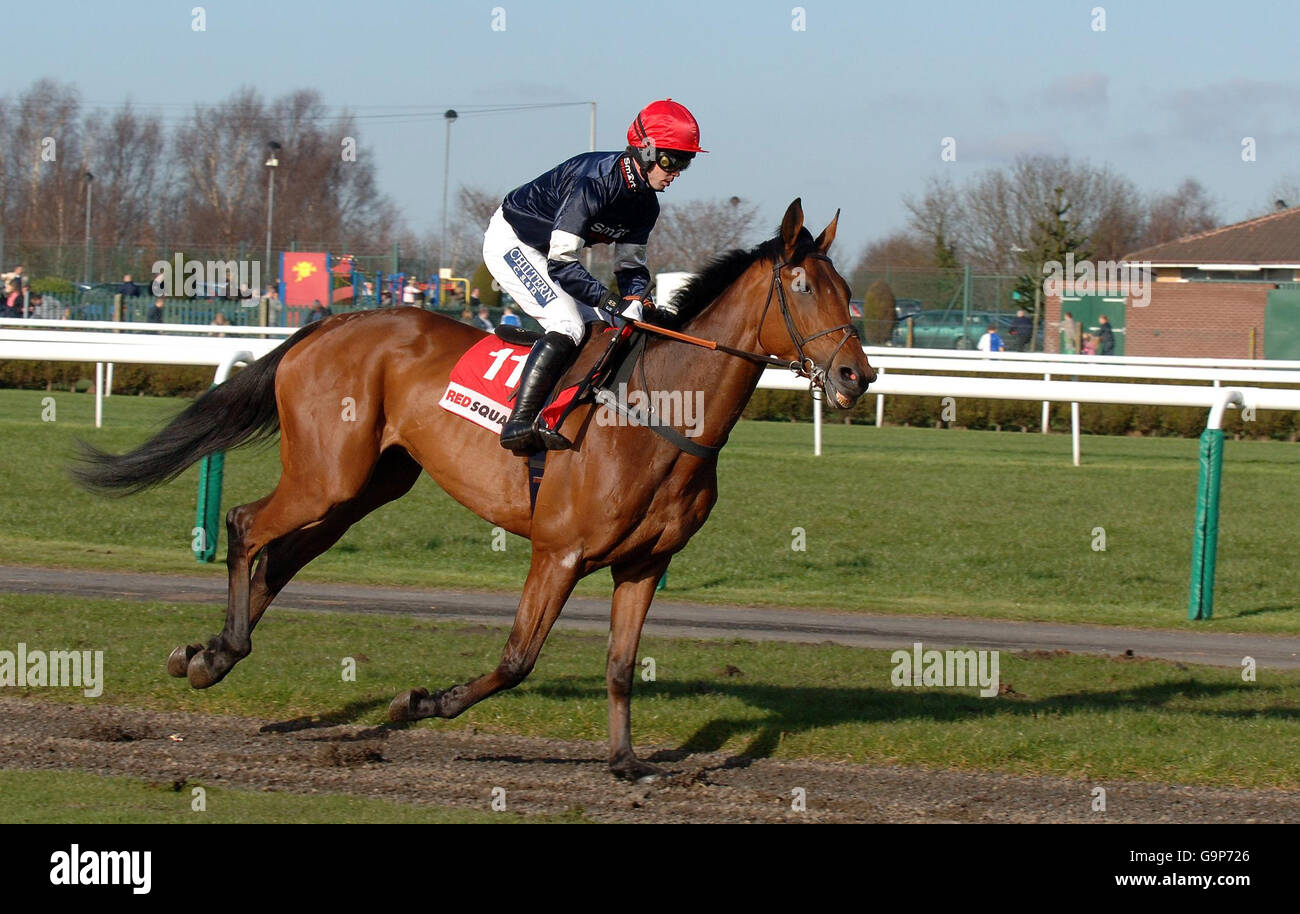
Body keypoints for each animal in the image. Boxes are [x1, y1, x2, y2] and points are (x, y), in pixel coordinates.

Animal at [76, 198, 878, 780]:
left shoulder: (646, 563)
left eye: (848, 292)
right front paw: (419, 701)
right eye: (803, 286)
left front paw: (627, 763)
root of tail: (325, 326)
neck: (662, 410)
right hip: (325, 477)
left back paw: (209, 655)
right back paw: (222, 650)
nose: (858, 376)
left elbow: (621, 667)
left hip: (365, 487)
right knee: (247, 524)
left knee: (281, 557)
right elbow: (517, 660)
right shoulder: (558, 551)